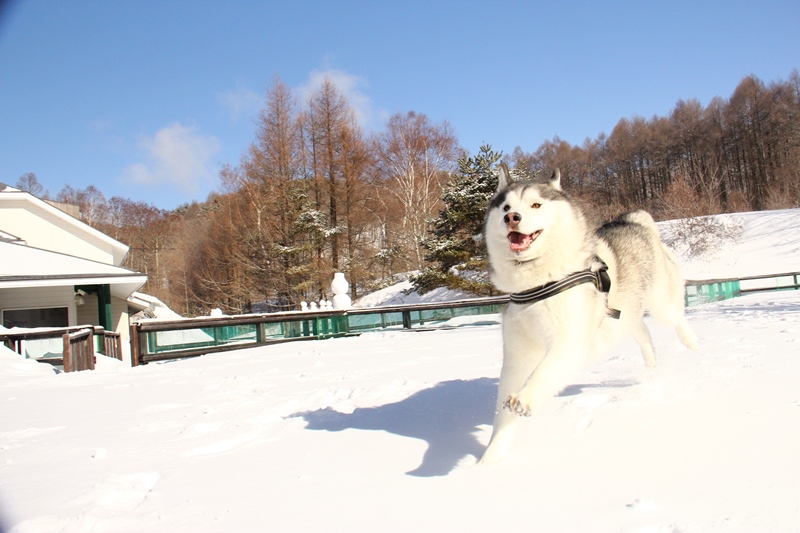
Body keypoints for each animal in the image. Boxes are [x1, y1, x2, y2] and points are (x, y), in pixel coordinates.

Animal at [478, 164, 696, 464]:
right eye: (506, 207)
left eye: (536, 204)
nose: (512, 218)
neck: (536, 284)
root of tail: (634, 221)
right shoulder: (516, 354)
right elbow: (503, 415)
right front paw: (485, 463)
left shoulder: (569, 342)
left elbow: (543, 373)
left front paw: (525, 399)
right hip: (623, 315)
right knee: (642, 331)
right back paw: (651, 365)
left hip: (661, 302)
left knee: (676, 317)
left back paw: (693, 346)